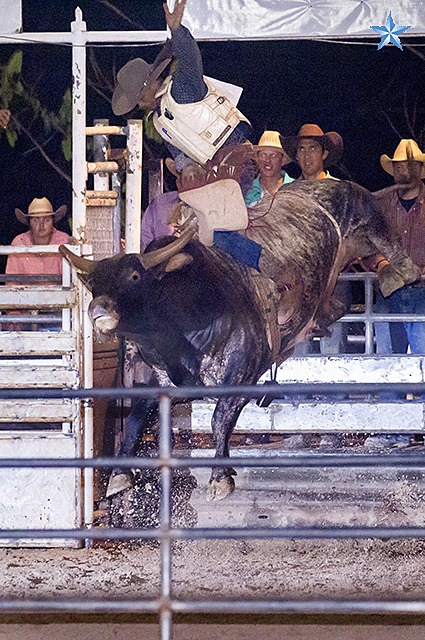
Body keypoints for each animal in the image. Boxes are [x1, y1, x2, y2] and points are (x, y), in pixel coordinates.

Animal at [59, 178, 420, 502]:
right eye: (93, 284)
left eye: (134, 276)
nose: (97, 309)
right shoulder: (162, 380)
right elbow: (135, 418)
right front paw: (119, 476)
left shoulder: (242, 376)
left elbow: (220, 419)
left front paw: (221, 478)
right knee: (335, 307)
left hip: (366, 219)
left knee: (391, 246)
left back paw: (402, 273)